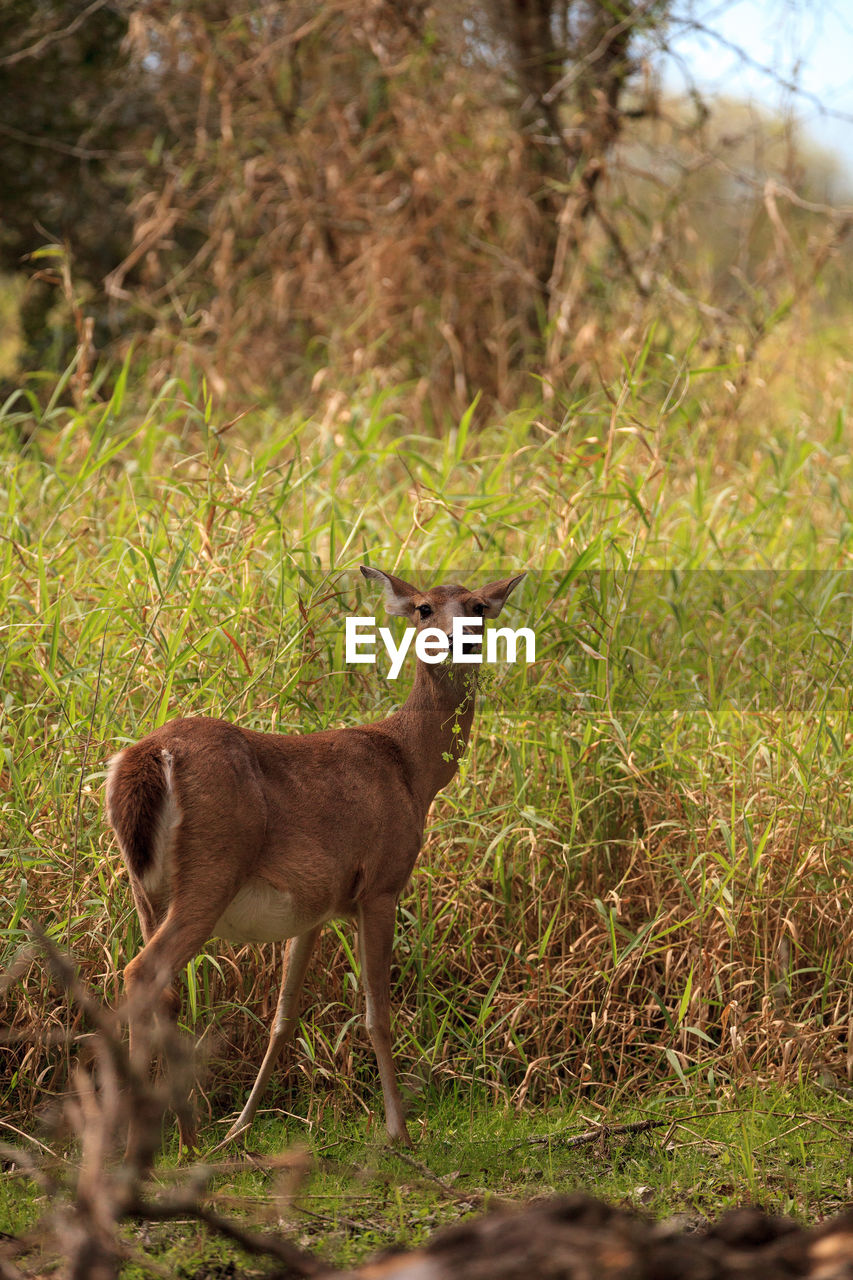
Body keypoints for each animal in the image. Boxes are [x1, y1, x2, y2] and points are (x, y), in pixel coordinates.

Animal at [106, 568, 525, 1152]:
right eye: (423, 608)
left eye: (480, 607)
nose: (455, 640)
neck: (412, 769)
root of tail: (146, 755)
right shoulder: (382, 885)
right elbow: (377, 1015)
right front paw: (398, 1130)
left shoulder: (314, 909)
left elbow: (283, 1015)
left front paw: (239, 1128)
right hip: (212, 870)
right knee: (142, 972)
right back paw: (135, 1146)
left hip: (144, 887)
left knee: (163, 991)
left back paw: (187, 1140)